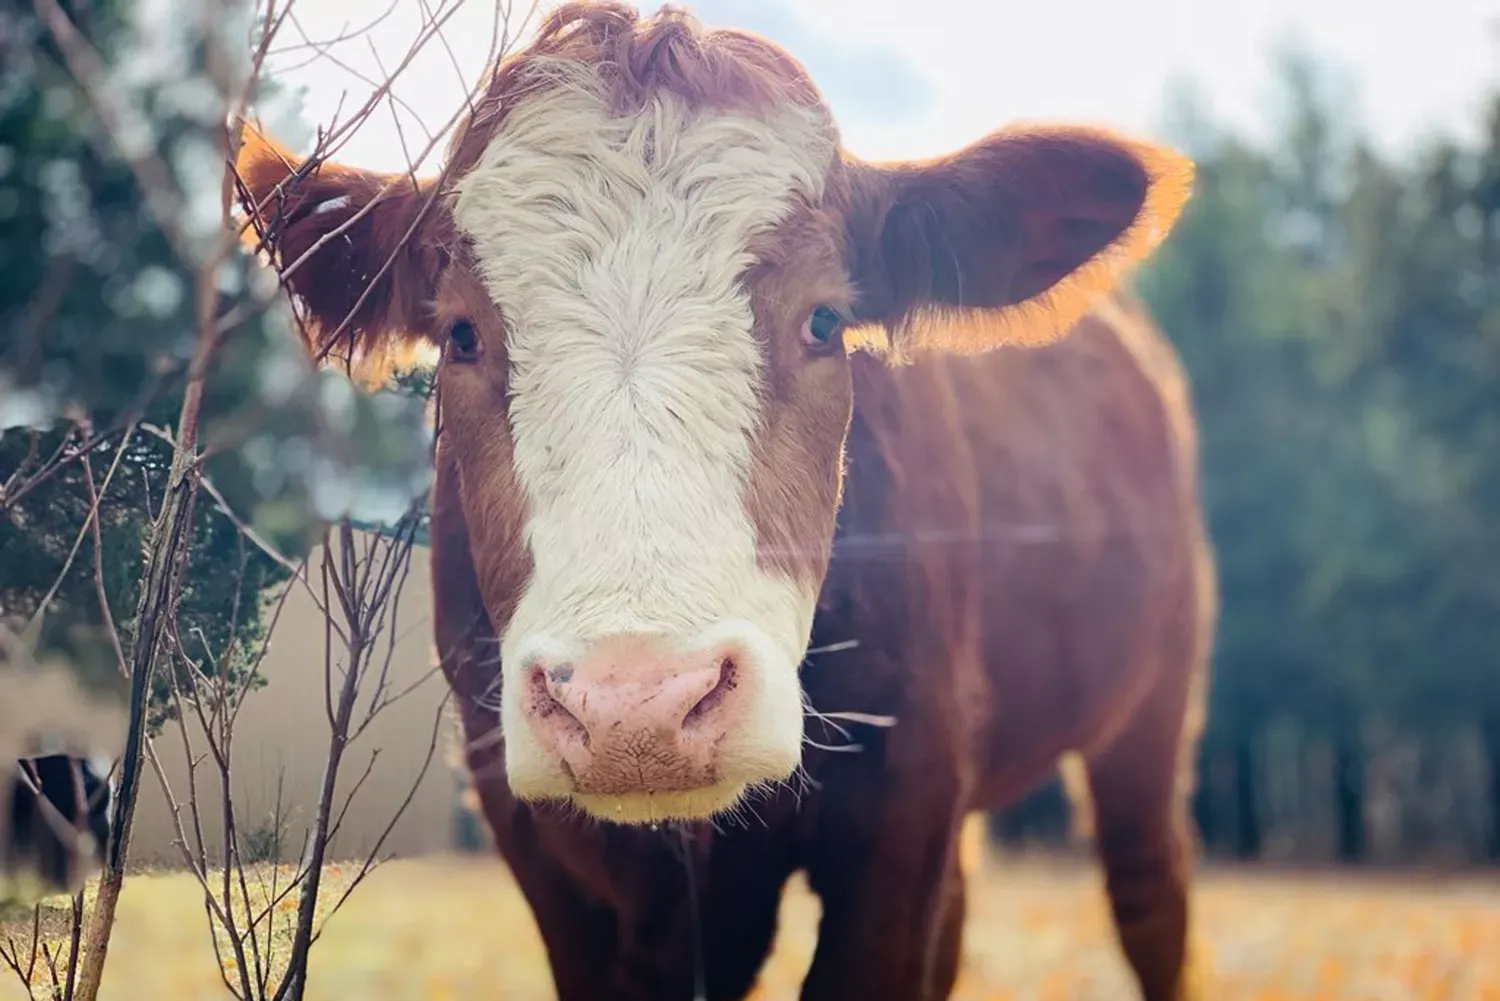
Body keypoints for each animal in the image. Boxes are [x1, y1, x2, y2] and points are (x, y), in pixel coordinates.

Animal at [234, 3, 1218, 996]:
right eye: (463, 334)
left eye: (825, 320)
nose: (636, 709)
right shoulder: (537, 840)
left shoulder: (908, 790)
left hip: (1154, 701)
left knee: (1151, 897)